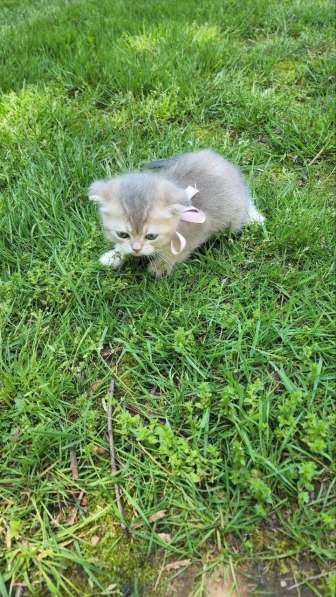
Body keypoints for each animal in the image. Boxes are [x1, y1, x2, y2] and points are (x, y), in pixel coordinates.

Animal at [88, 149, 266, 274]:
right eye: (123, 234)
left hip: (234, 216)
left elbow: (177, 252)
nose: (136, 250)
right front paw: (113, 256)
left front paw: (161, 266)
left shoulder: (196, 232)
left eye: (151, 236)